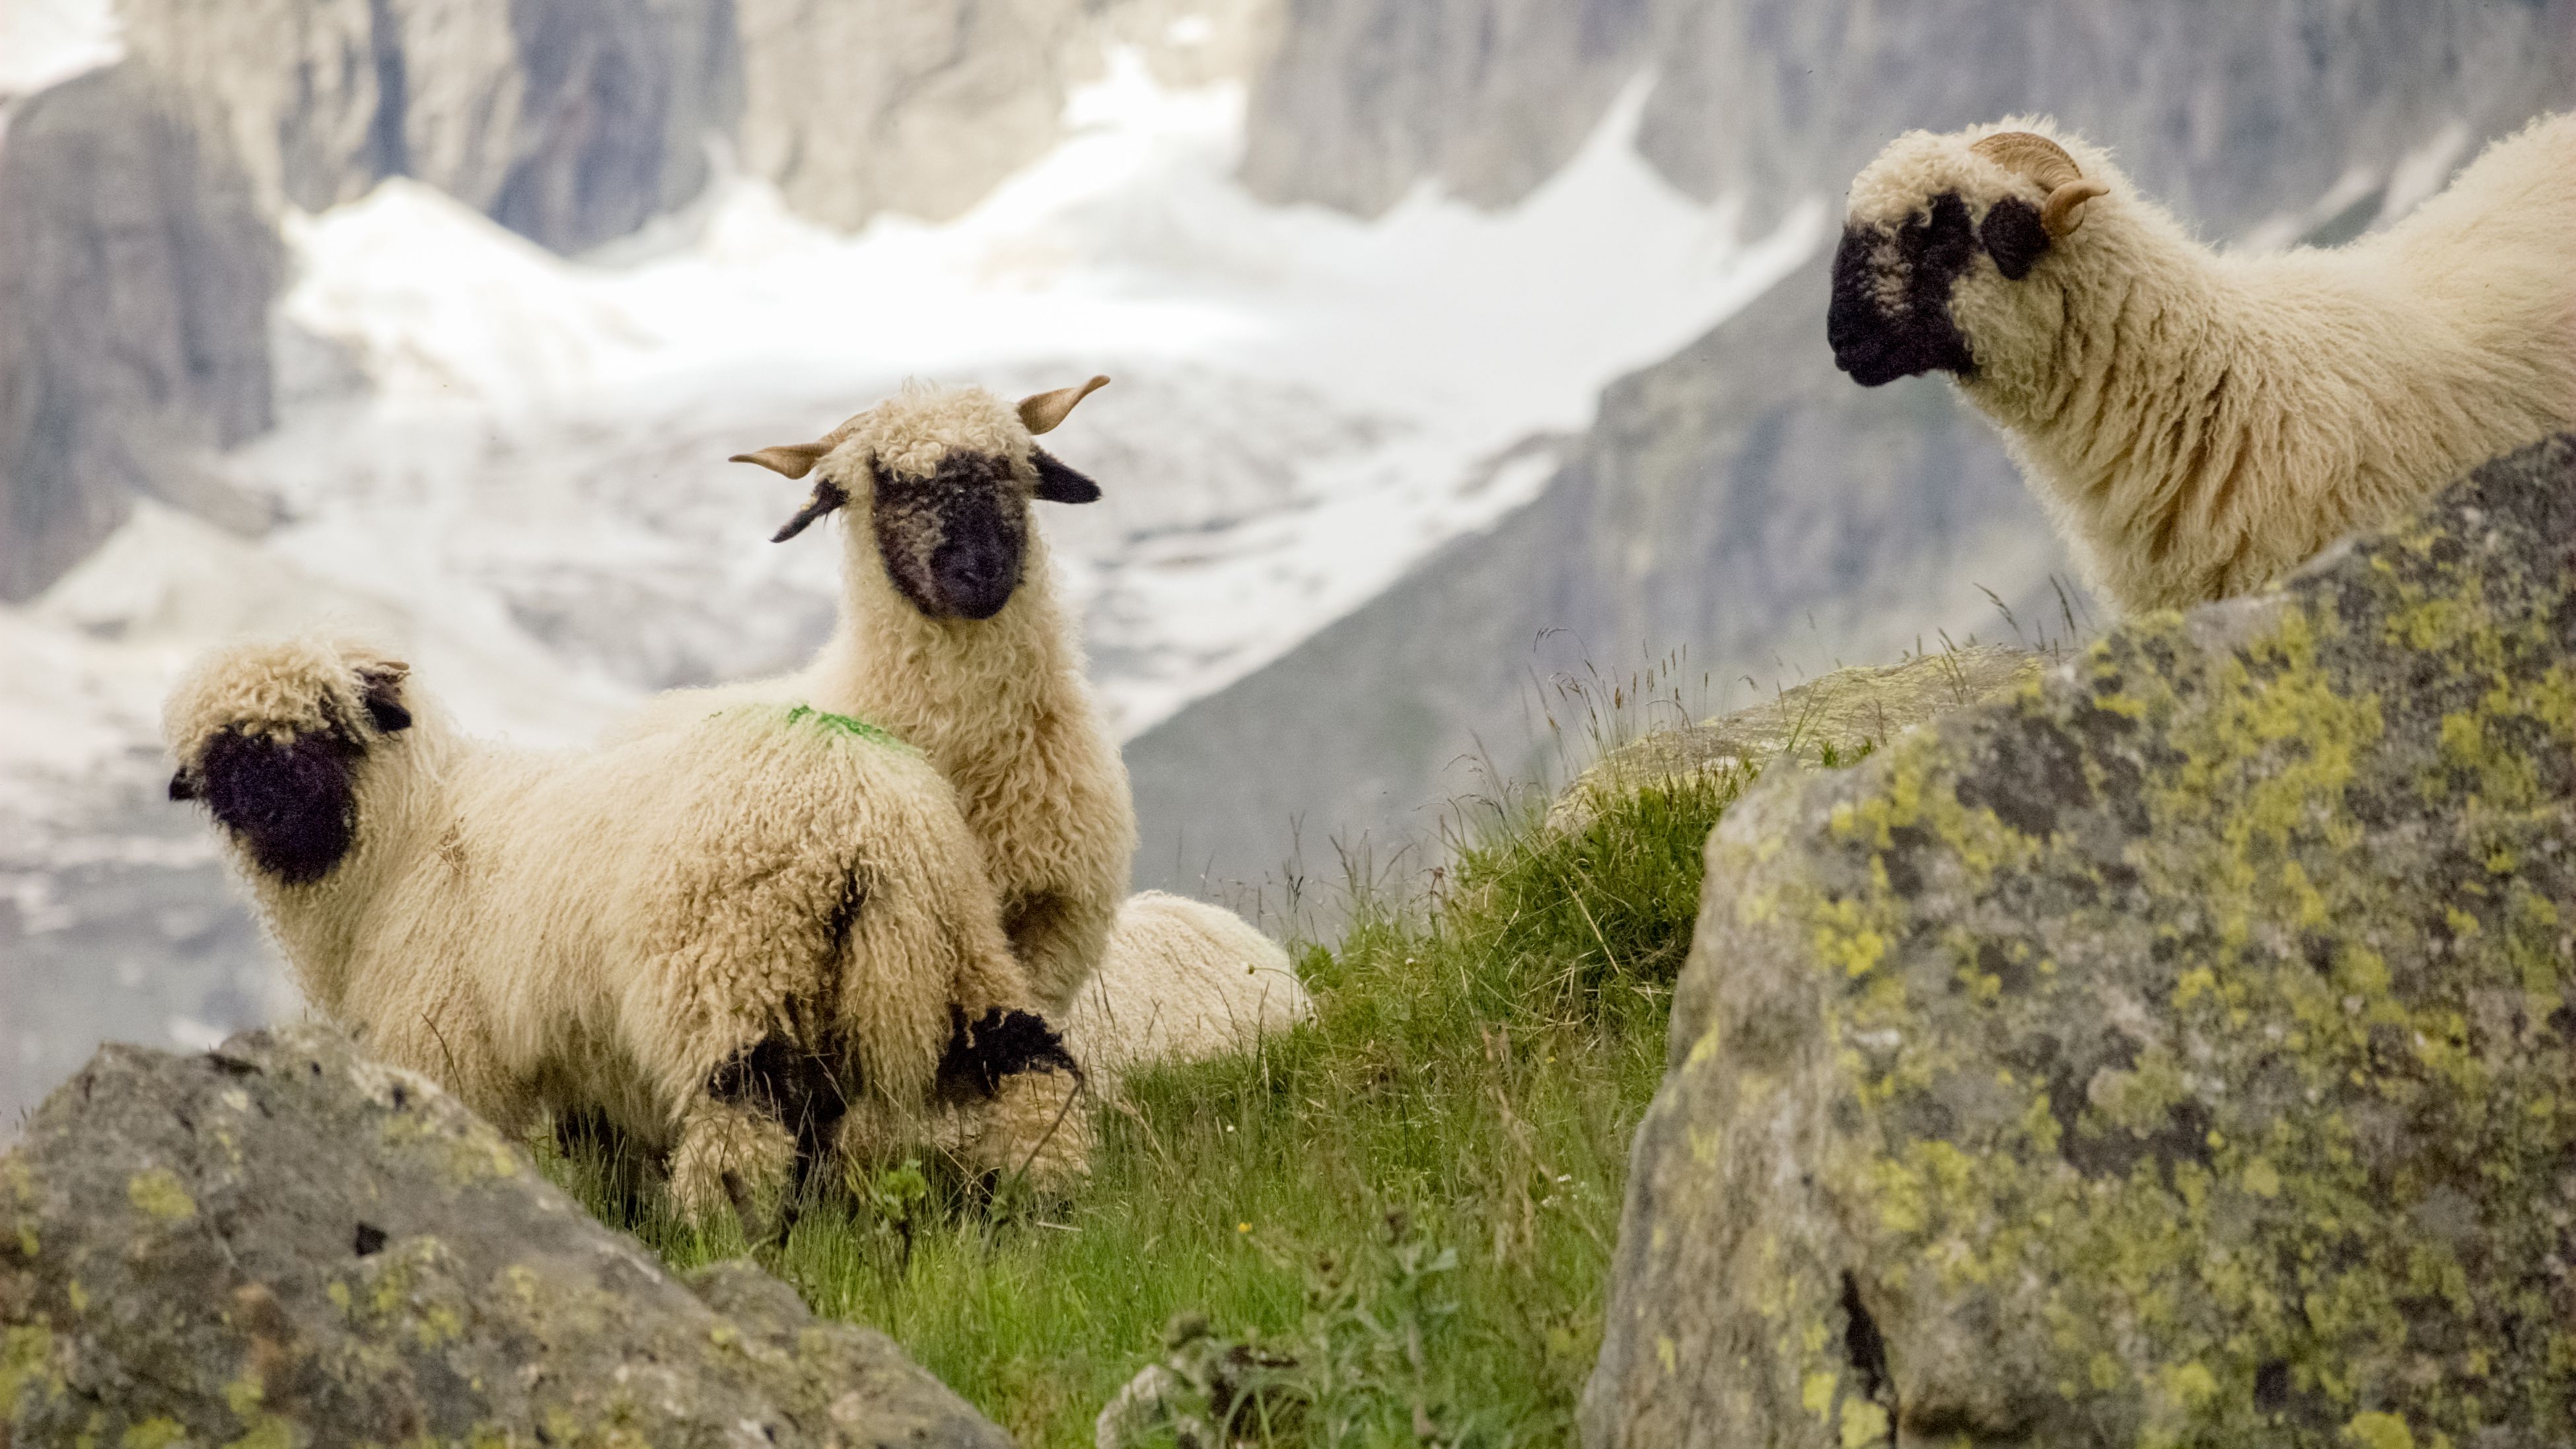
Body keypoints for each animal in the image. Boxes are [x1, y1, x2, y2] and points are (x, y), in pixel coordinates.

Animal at [163, 632, 1089, 1221]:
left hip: (731, 974)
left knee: (743, 1133)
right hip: (959, 952)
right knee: (1033, 1066)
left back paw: (721, 1235)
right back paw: (1043, 1202)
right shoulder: (586, 1058)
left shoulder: (444, 1042)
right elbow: (609, 1171)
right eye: (224, 758)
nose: (271, 812)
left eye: (330, 727)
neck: (404, 838)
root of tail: (861, 810)